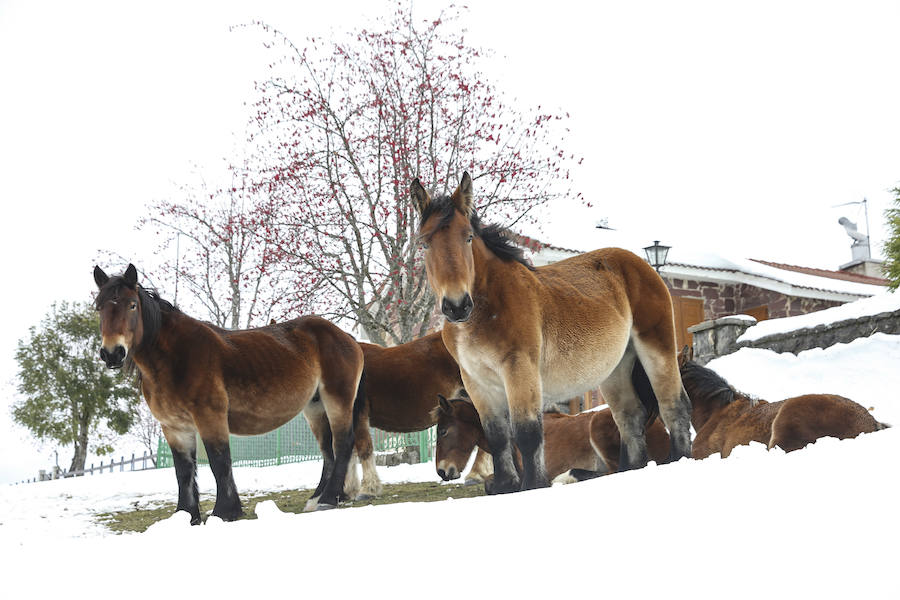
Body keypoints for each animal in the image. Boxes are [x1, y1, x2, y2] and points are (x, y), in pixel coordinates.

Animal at [95, 264, 366, 524]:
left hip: (337, 399)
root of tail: (346, 337)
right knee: (327, 450)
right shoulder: (174, 427)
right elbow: (183, 471)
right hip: (314, 407)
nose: (112, 353)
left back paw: (328, 499)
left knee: (342, 443)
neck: (175, 360)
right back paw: (317, 498)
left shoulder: (210, 417)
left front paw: (225, 512)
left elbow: (219, 462)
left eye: (132, 305)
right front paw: (187, 515)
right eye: (99, 308)